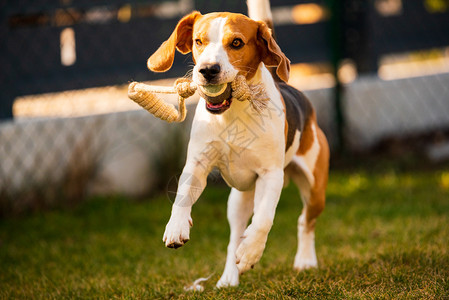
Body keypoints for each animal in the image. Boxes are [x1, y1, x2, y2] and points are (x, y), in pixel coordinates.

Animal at [148, 0, 328, 288]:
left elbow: (264, 219)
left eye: (236, 43)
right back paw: (229, 276)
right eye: (198, 41)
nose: (208, 70)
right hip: (238, 200)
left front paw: (252, 252)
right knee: (235, 237)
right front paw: (176, 225)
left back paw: (304, 260)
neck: (232, 114)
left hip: (315, 190)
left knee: (304, 221)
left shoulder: (271, 175)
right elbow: (182, 196)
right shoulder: (197, 163)